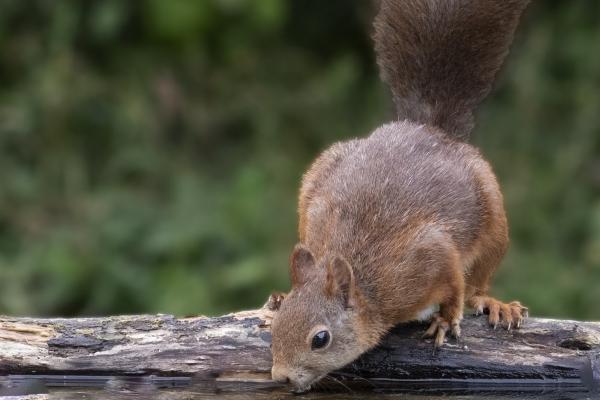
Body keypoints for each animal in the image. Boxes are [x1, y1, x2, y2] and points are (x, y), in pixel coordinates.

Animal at [270, 0, 528, 394]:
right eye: (276, 328)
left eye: (320, 339)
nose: (280, 377)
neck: (367, 284)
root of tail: (426, 127)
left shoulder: (427, 254)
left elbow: (455, 285)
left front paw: (445, 320)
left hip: (494, 219)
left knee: (477, 283)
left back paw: (493, 302)